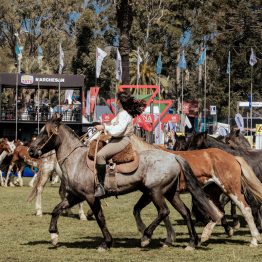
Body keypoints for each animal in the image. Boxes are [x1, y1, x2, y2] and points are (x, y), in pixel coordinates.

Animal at [28, 114, 221, 250]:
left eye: (45, 133)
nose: (31, 151)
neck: (77, 160)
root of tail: (173, 156)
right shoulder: (76, 196)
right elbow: (56, 210)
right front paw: (54, 236)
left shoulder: (91, 197)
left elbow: (100, 218)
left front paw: (106, 243)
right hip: (170, 193)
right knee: (185, 212)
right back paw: (191, 242)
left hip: (156, 192)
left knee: (164, 212)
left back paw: (146, 237)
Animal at [130, 134, 262, 247]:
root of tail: (233, 158)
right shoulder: (156, 193)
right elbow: (146, 210)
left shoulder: (154, 192)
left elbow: (163, 213)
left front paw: (148, 236)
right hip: (213, 192)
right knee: (219, 212)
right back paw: (206, 234)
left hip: (231, 189)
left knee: (246, 209)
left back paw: (254, 239)